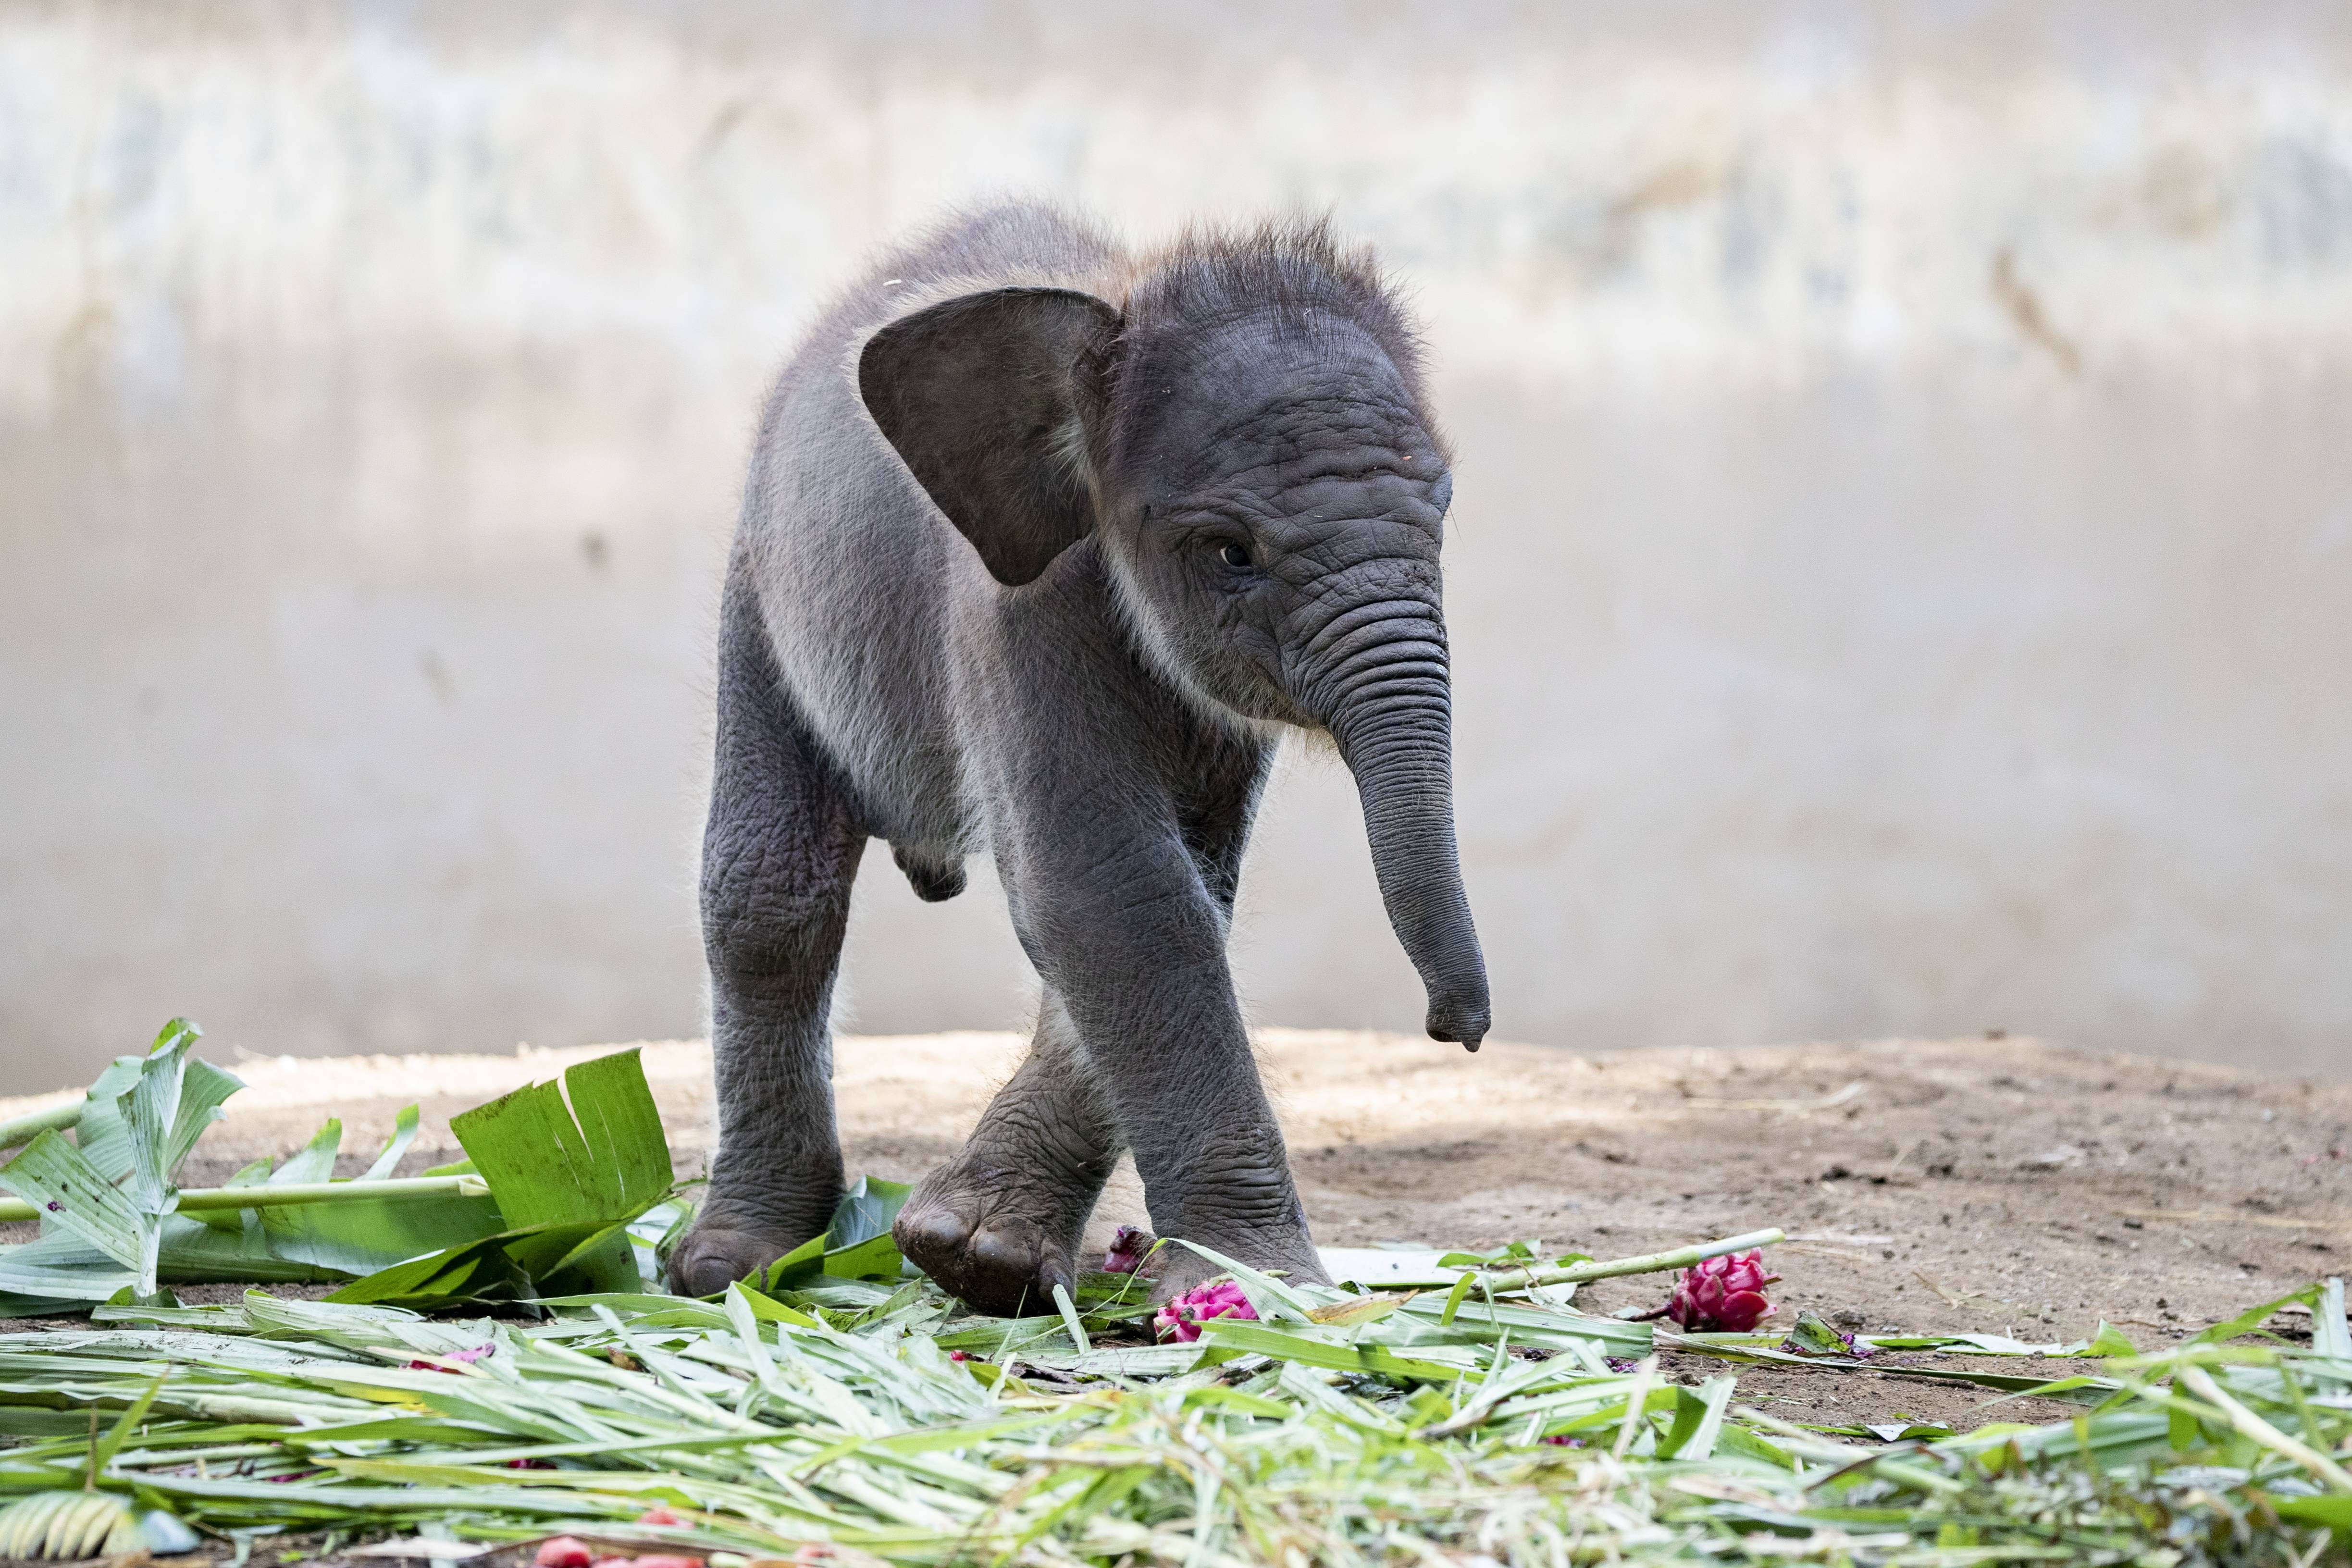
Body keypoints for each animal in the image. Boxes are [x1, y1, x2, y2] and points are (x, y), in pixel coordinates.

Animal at [672, 208, 1486, 1316]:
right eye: (1229, 551)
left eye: (1442, 512)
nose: (1457, 1028)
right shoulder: (1018, 609)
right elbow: (1111, 891)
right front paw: (1269, 1290)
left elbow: (1173, 894)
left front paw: (975, 1256)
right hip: (761, 591)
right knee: (768, 894)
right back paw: (734, 1266)